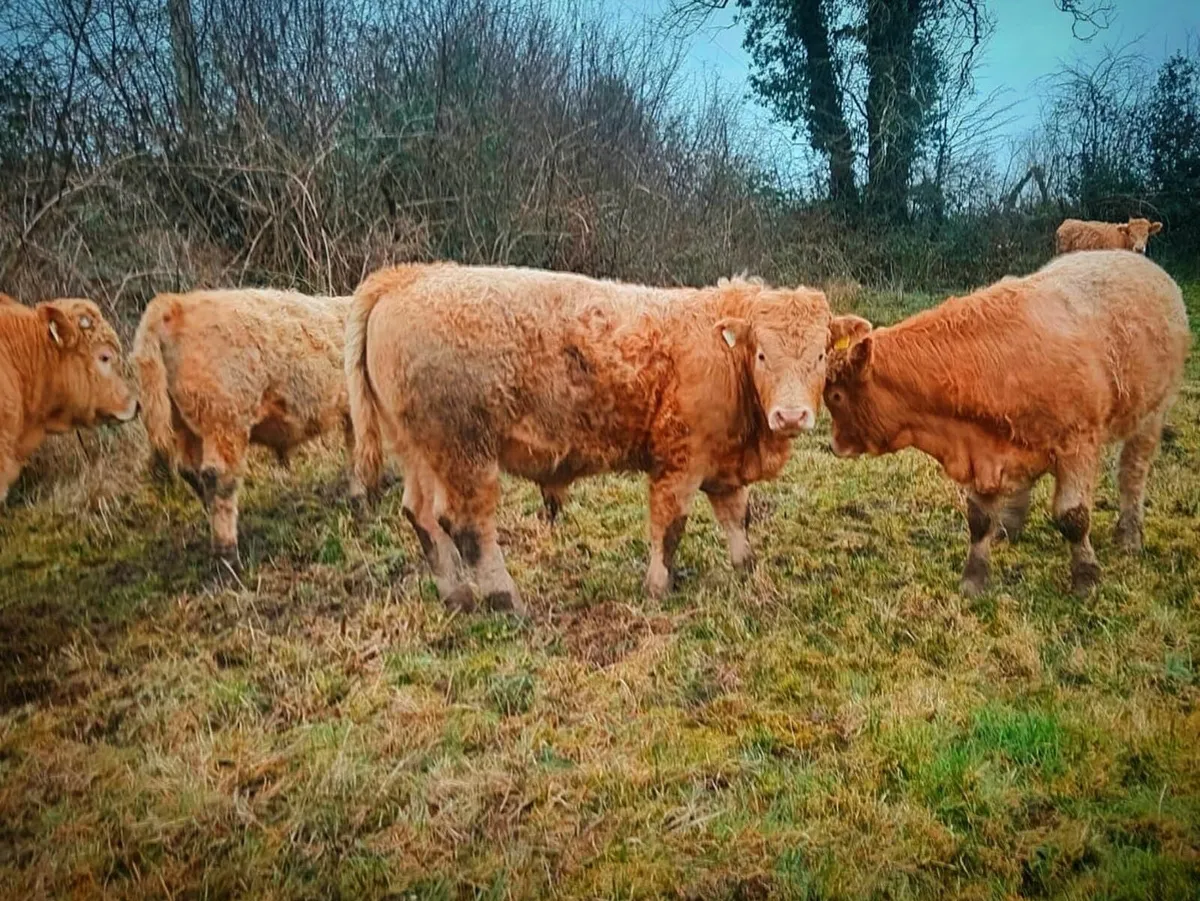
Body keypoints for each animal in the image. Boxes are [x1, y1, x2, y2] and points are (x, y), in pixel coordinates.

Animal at [133, 289, 357, 564]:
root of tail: (175, 303)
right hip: (224, 420)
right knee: (219, 479)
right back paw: (228, 554)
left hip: (182, 424)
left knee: (191, 472)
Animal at [346, 263, 832, 612]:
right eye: (763, 354)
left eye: (821, 354)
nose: (791, 415)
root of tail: (407, 276)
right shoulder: (679, 461)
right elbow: (669, 528)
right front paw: (658, 588)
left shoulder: (724, 462)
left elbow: (736, 517)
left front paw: (747, 568)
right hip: (464, 453)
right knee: (467, 525)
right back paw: (506, 601)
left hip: (418, 452)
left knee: (421, 516)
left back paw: (458, 596)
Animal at [823, 250, 1190, 598]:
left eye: (836, 396)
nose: (836, 445)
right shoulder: (983, 449)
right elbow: (979, 519)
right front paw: (974, 579)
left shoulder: (1078, 446)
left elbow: (1073, 517)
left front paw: (1086, 578)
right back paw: (1009, 528)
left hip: (1151, 416)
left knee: (1132, 475)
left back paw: (1129, 535)